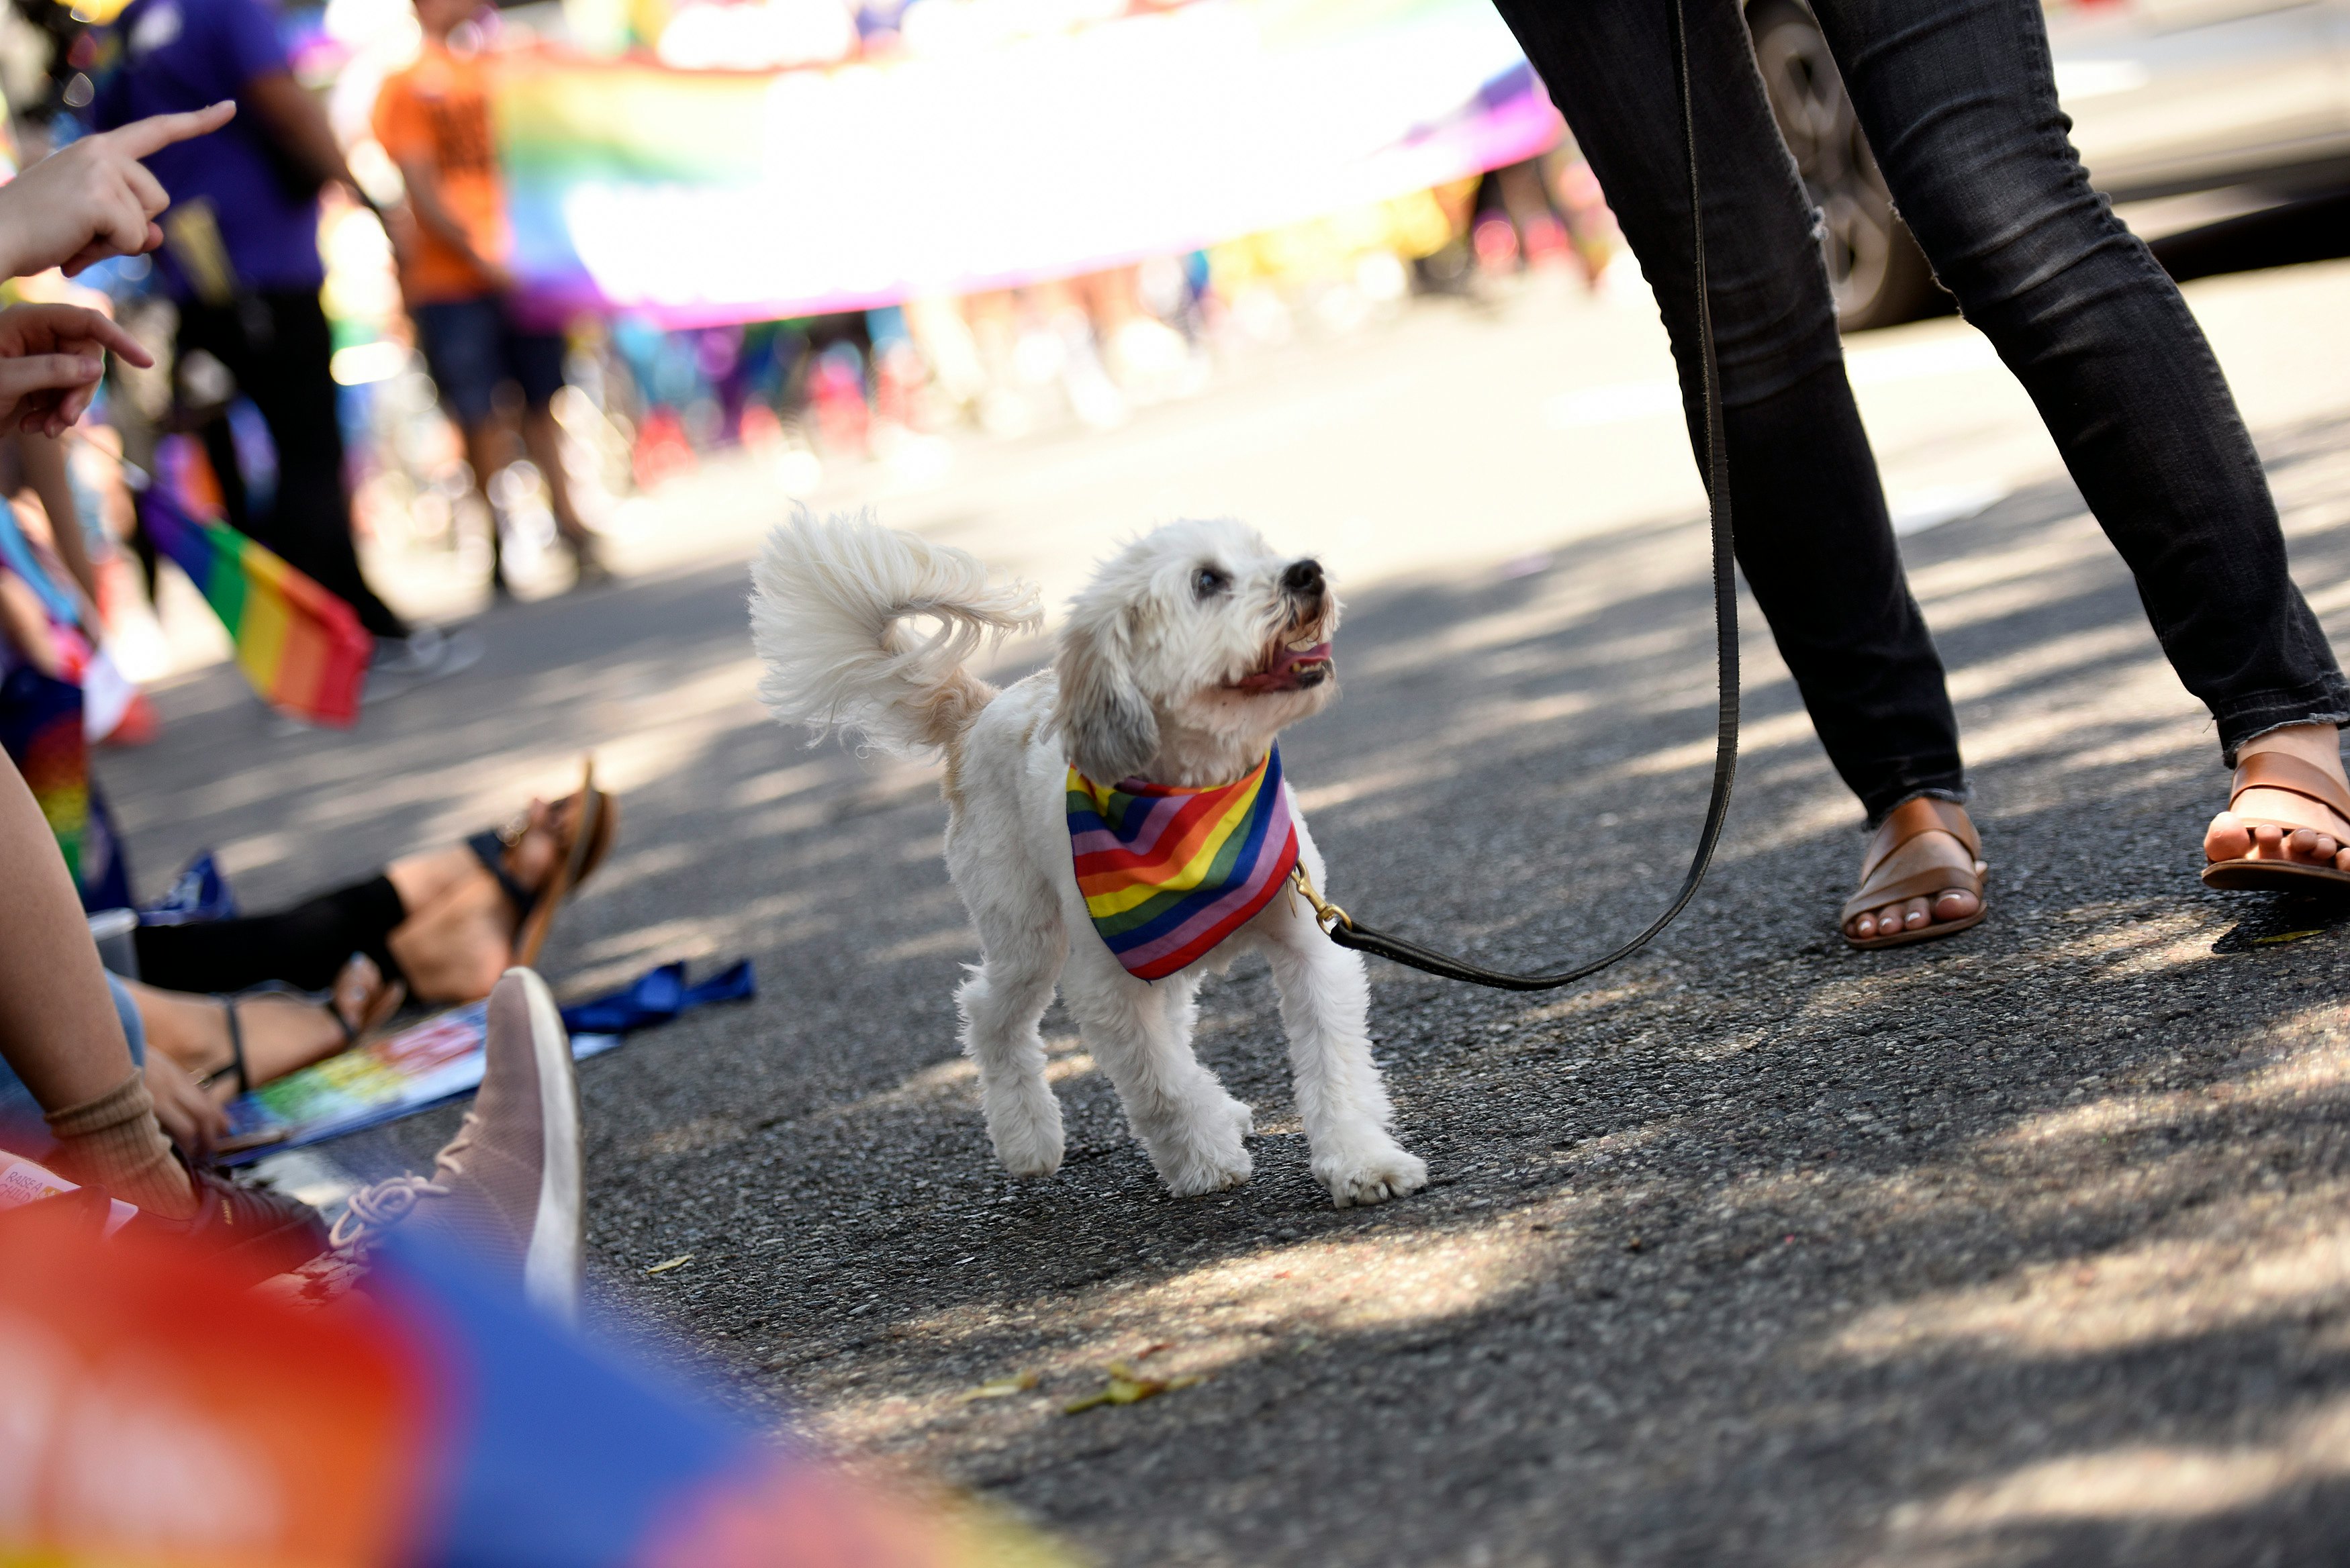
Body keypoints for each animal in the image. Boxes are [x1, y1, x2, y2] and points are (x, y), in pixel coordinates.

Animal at [752, 509, 1419, 1213]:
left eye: (1267, 552)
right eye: (1207, 581)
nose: (1307, 572)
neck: (1194, 803)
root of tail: (979, 712)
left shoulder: (1309, 945)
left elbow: (1335, 1066)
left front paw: (1362, 1162)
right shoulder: (1106, 987)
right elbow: (1160, 1083)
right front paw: (1203, 1160)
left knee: (1169, 1017)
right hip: (1027, 935)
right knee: (989, 1015)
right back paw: (1028, 1137)